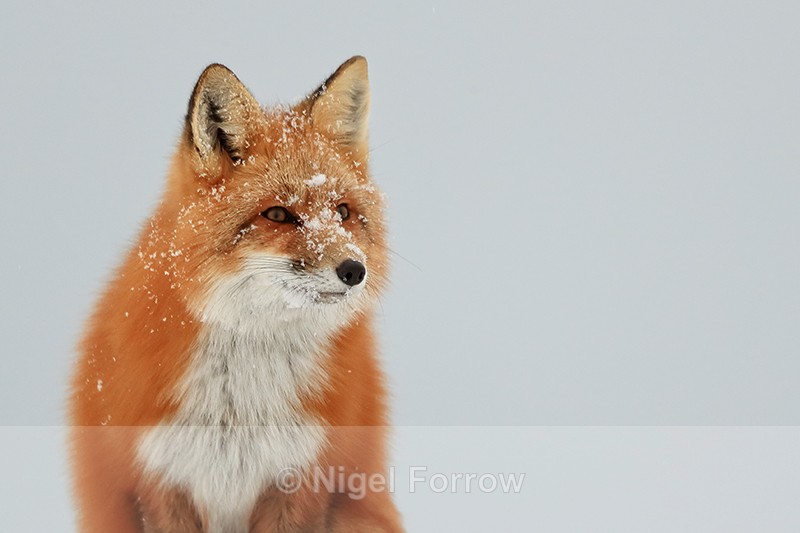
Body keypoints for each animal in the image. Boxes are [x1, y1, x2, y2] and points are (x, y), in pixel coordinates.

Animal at [69, 56, 403, 533]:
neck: (240, 406)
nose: (354, 271)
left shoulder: (303, 477)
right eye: (278, 215)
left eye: (343, 212)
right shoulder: (160, 479)